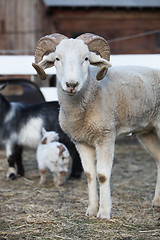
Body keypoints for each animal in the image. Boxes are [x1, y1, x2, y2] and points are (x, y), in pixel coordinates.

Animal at [31, 33, 160, 219]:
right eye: (57, 58)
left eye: (86, 58)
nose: (71, 85)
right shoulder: (81, 142)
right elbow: (90, 175)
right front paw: (91, 210)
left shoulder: (105, 136)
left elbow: (102, 175)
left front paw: (104, 212)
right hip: (147, 131)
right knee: (159, 159)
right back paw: (157, 202)